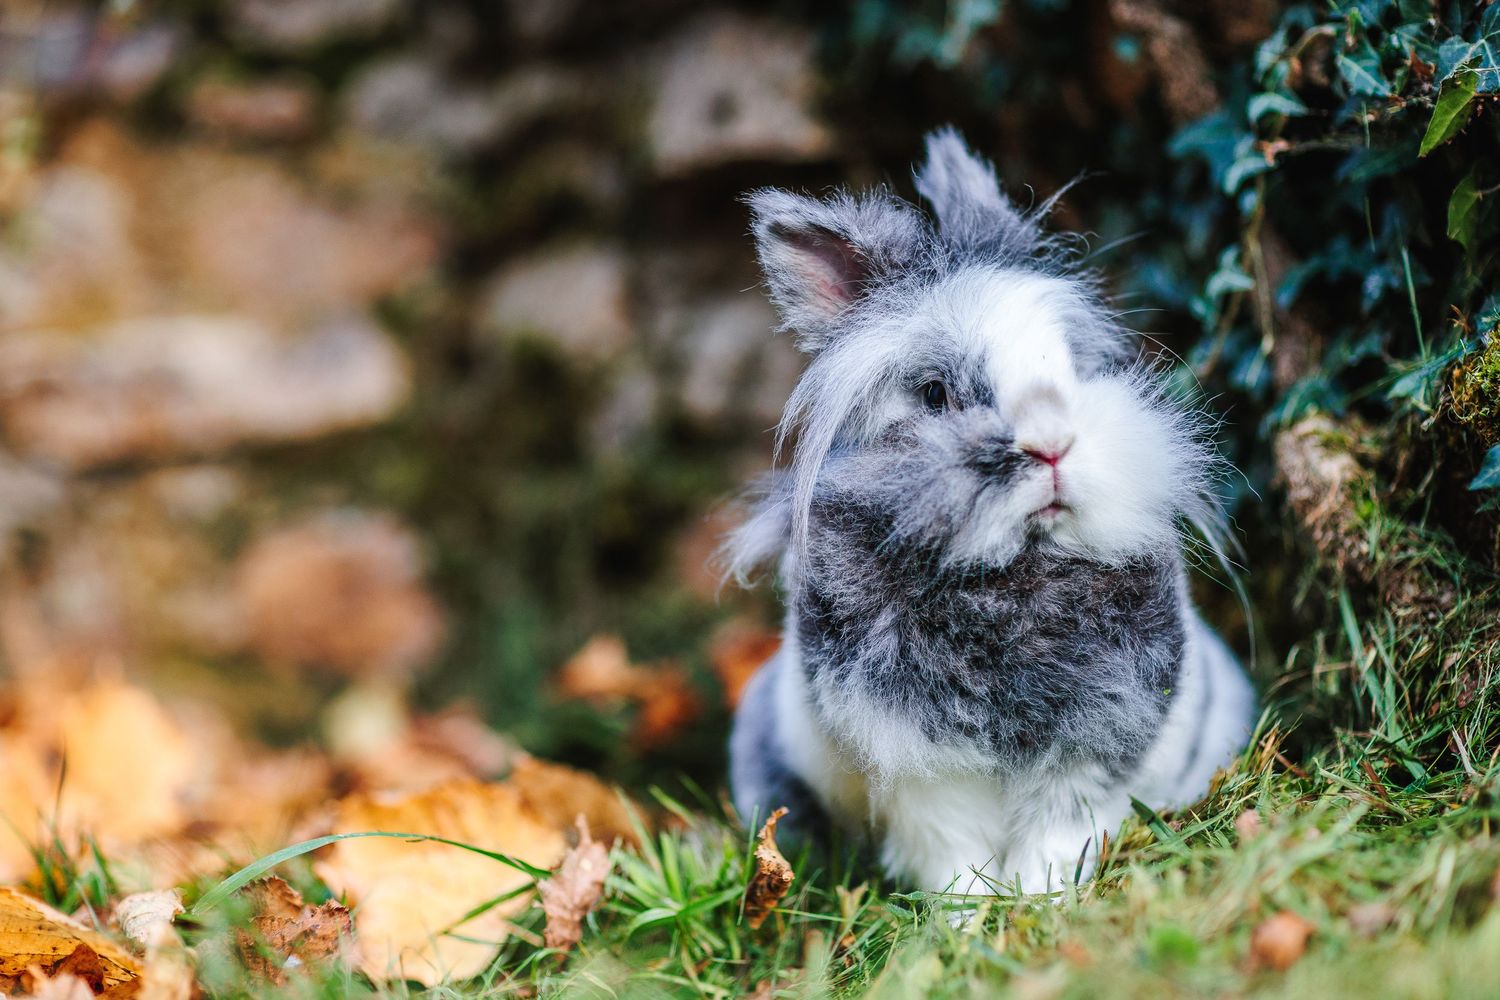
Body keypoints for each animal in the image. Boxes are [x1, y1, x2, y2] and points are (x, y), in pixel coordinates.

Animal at [726, 128, 1256, 896]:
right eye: (935, 394)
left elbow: (1058, 835)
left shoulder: (1095, 744)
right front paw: (972, 917)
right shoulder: (918, 767)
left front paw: (1041, 904)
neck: (1009, 578)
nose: (1053, 444)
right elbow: (953, 855)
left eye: (1070, 368)